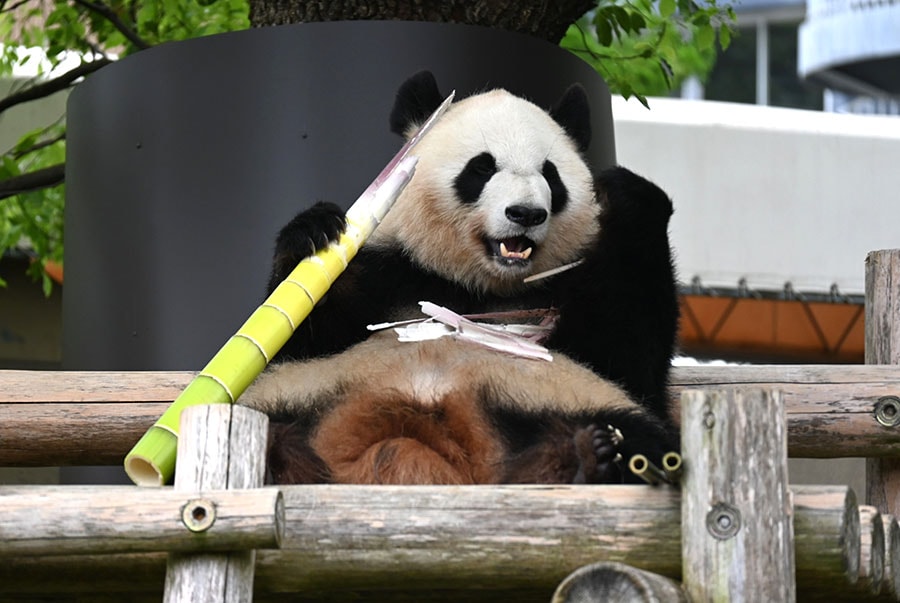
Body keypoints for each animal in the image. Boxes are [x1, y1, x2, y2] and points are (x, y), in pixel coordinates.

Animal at [236, 72, 680, 486]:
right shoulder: (391, 269)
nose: (526, 213)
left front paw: (626, 191)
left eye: (551, 175)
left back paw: (589, 458)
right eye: (482, 167)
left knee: (642, 438)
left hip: (561, 401)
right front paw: (314, 229)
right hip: (297, 398)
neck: (473, 283)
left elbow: (627, 358)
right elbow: (303, 338)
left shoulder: (567, 288)